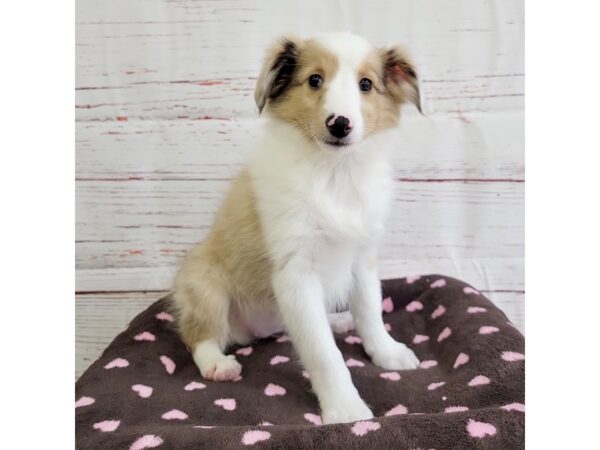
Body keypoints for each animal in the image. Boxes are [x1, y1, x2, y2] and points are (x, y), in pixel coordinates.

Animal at [171, 32, 420, 426]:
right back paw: (217, 363)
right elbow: (324, 353)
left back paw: (338, 321)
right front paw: (345, 408)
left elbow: (370, 312)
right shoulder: (296, 272)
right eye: (315, 79)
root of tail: (250, 331)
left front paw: (387, 352)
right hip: (204, 283)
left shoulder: (363, 257)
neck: (333, 173)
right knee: (198, 333)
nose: (339, 124)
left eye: (366, 84)